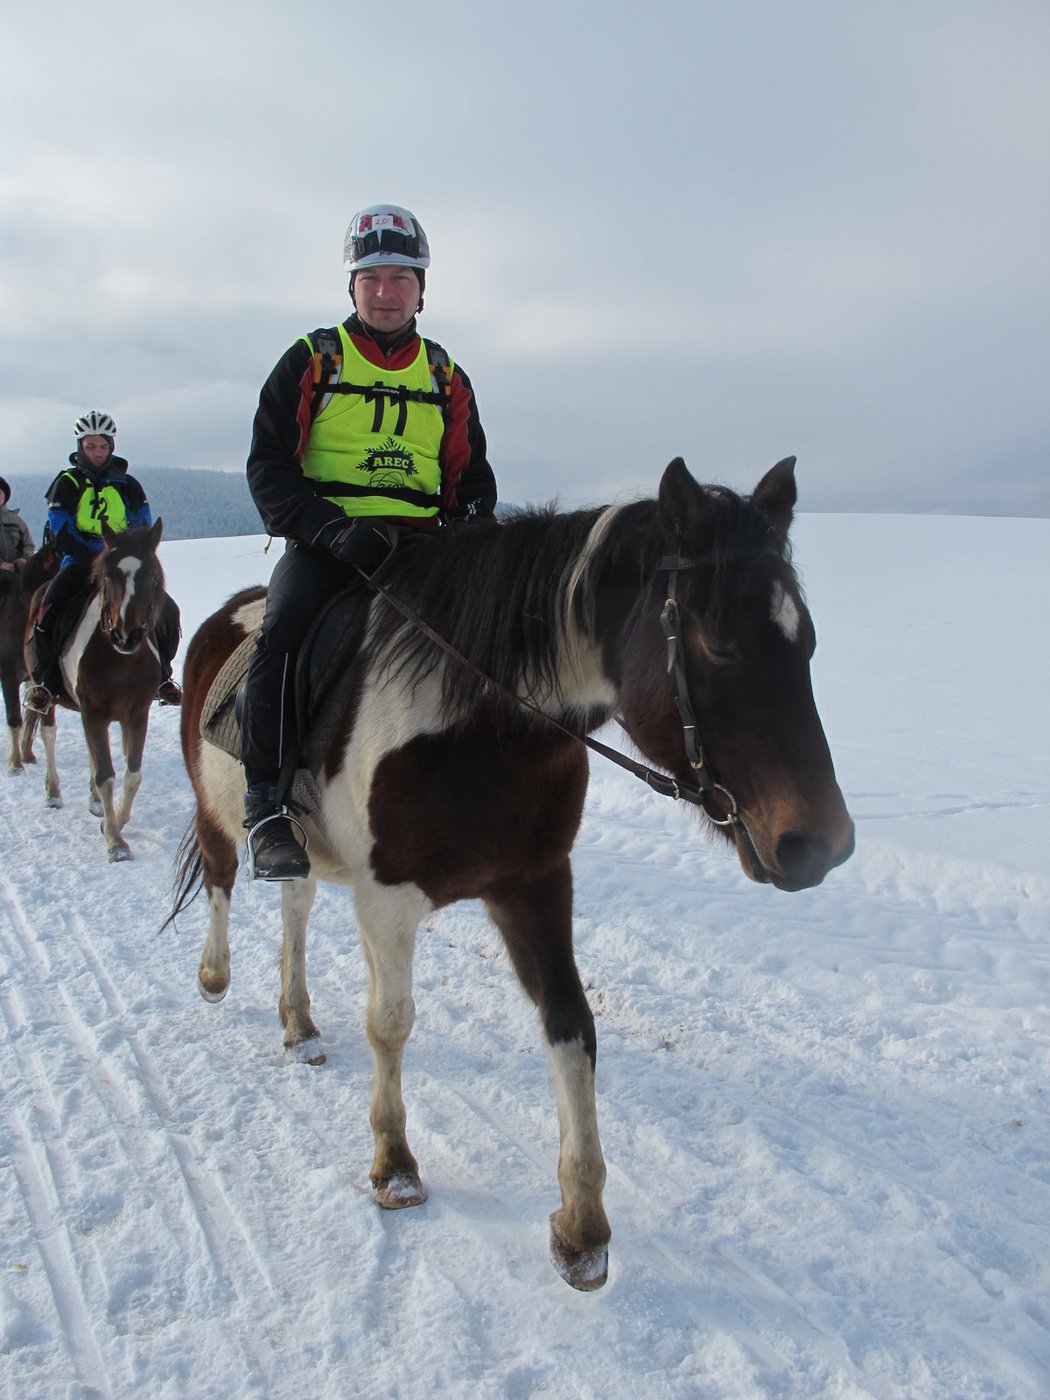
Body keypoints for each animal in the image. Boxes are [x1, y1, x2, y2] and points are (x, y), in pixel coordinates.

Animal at [0, 543, 58, 772]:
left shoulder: (36, 678)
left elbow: (31, 718)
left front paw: (27, 754)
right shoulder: (8, 674)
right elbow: (15, 717)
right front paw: (15, 762)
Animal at [23, 520, 166, 856]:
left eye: (152, 576)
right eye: (108, 576)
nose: (126, 635)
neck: (121, 661)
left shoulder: (136, 714)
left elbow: (131, 775)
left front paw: (117, 821)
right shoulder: (94, 713)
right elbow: (106, 776)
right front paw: (115, 842)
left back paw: (95, 803)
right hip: (45, 694)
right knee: (49, 735)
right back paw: (53, 792)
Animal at [168, 456, 856, 1288]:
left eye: (808, 641)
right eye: (720, 645)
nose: (823, 844)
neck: (481, 722)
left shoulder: (535, 884)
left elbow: (571, 1027)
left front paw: (582, 1224)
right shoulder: (386, 899)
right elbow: (390, 1023)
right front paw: (395, 1164)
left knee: (294, 905)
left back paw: (298, 1021)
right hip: (220, 811)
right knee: (221, 880)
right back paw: (214, 976)